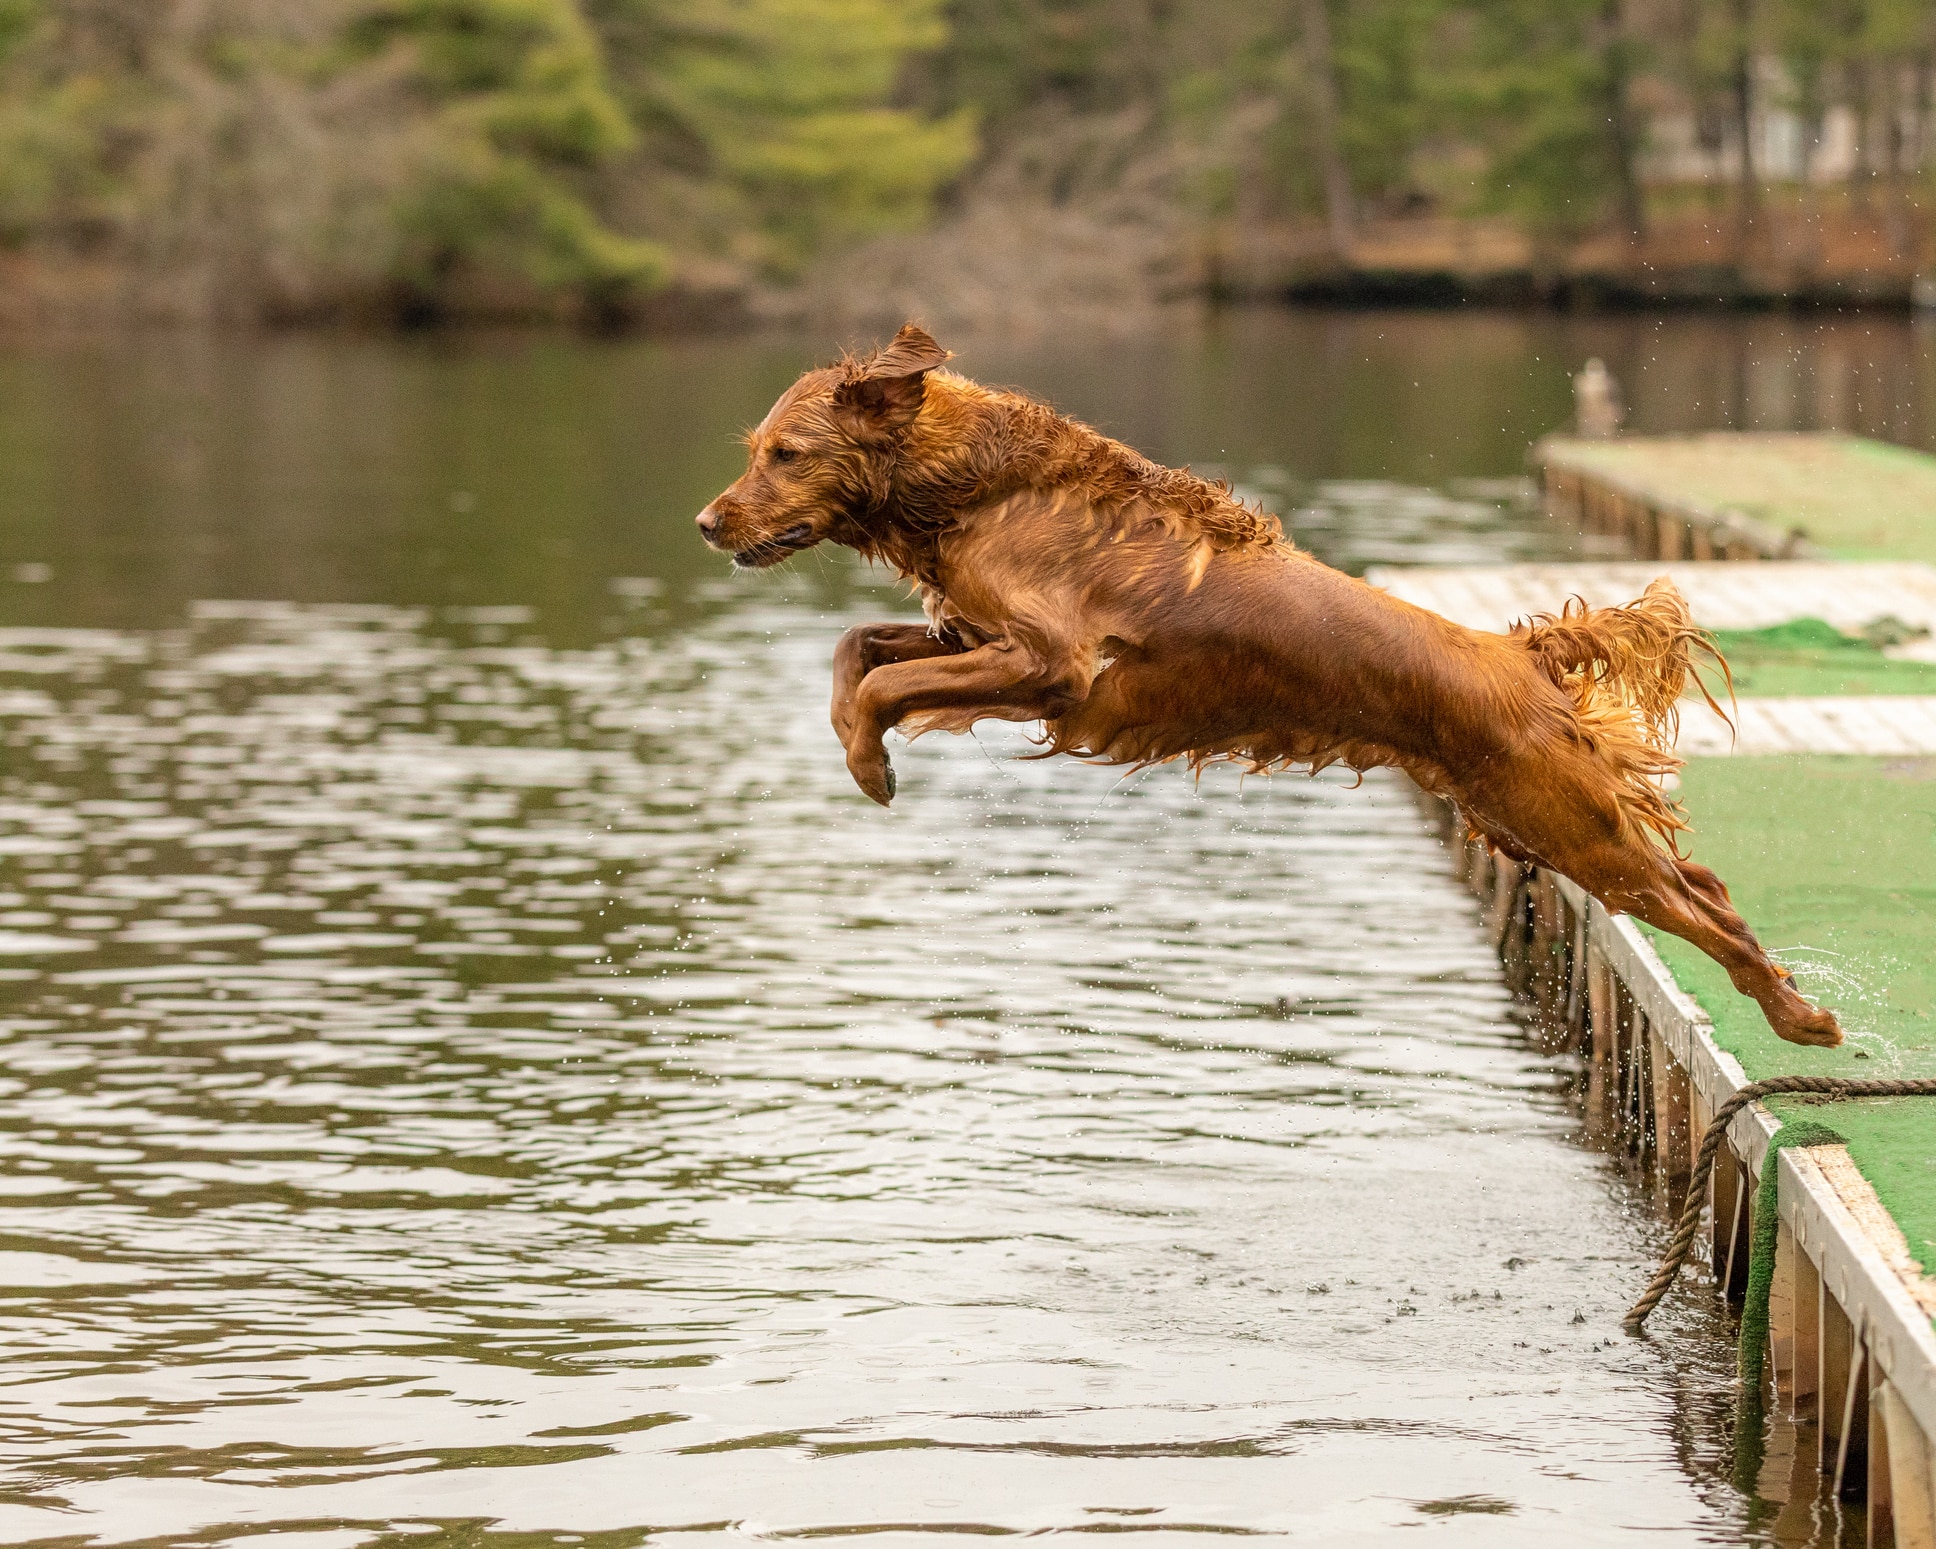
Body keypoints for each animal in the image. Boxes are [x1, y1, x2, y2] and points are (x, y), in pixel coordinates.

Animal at [696, 327, 1843, 1053]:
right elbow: (857, 651)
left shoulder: (1050, 665)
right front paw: (862, 748)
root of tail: (1512, 653)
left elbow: (878, 684)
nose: (707, 522)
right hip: (1537, 823)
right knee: (1703, 884)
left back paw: (1800, 1018)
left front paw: (868, 763)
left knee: (1698, 909)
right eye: (753, 450)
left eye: (787, 453)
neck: (982, 485)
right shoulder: (974, 639)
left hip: (1565, 821)